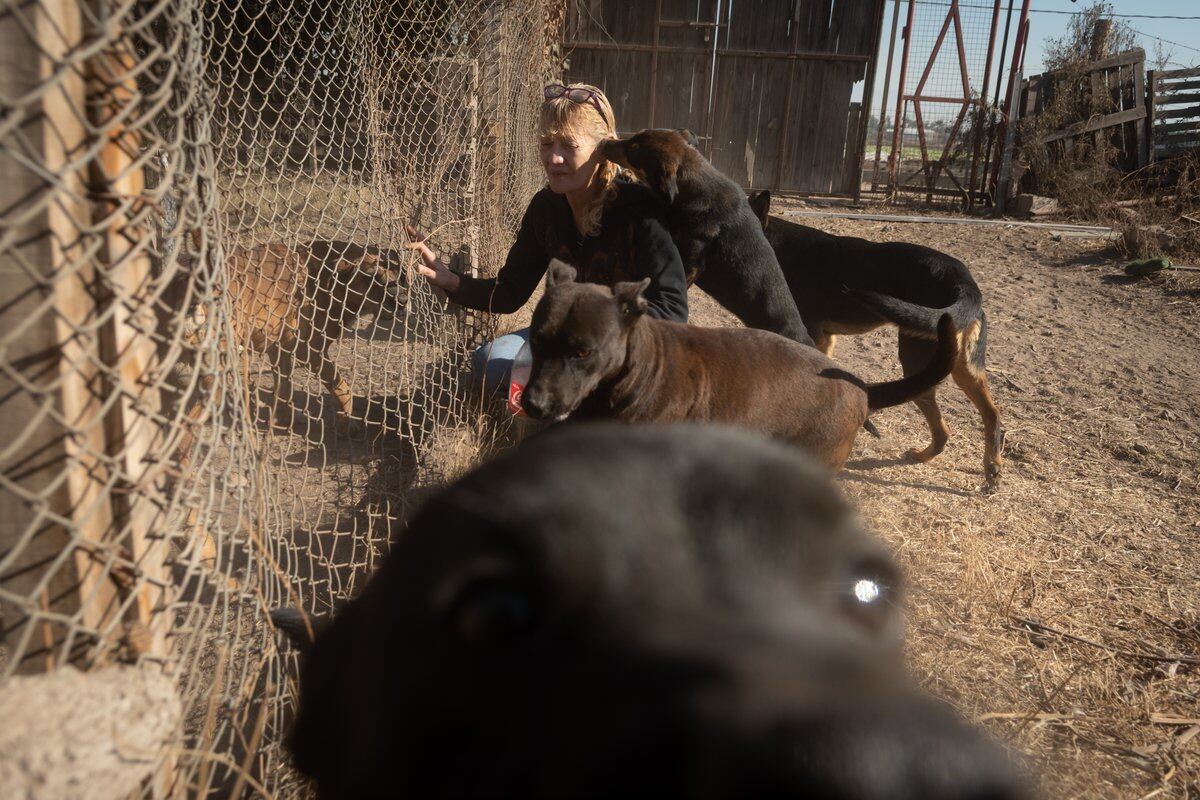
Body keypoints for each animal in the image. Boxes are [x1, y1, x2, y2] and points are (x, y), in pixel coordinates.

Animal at [748, 191, 1003, 491]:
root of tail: (964, 284)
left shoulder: (810, 332)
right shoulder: (826, 338)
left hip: (917, 360)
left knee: (942, 423)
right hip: (965, 367)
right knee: (988, 415)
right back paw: (985, 466)